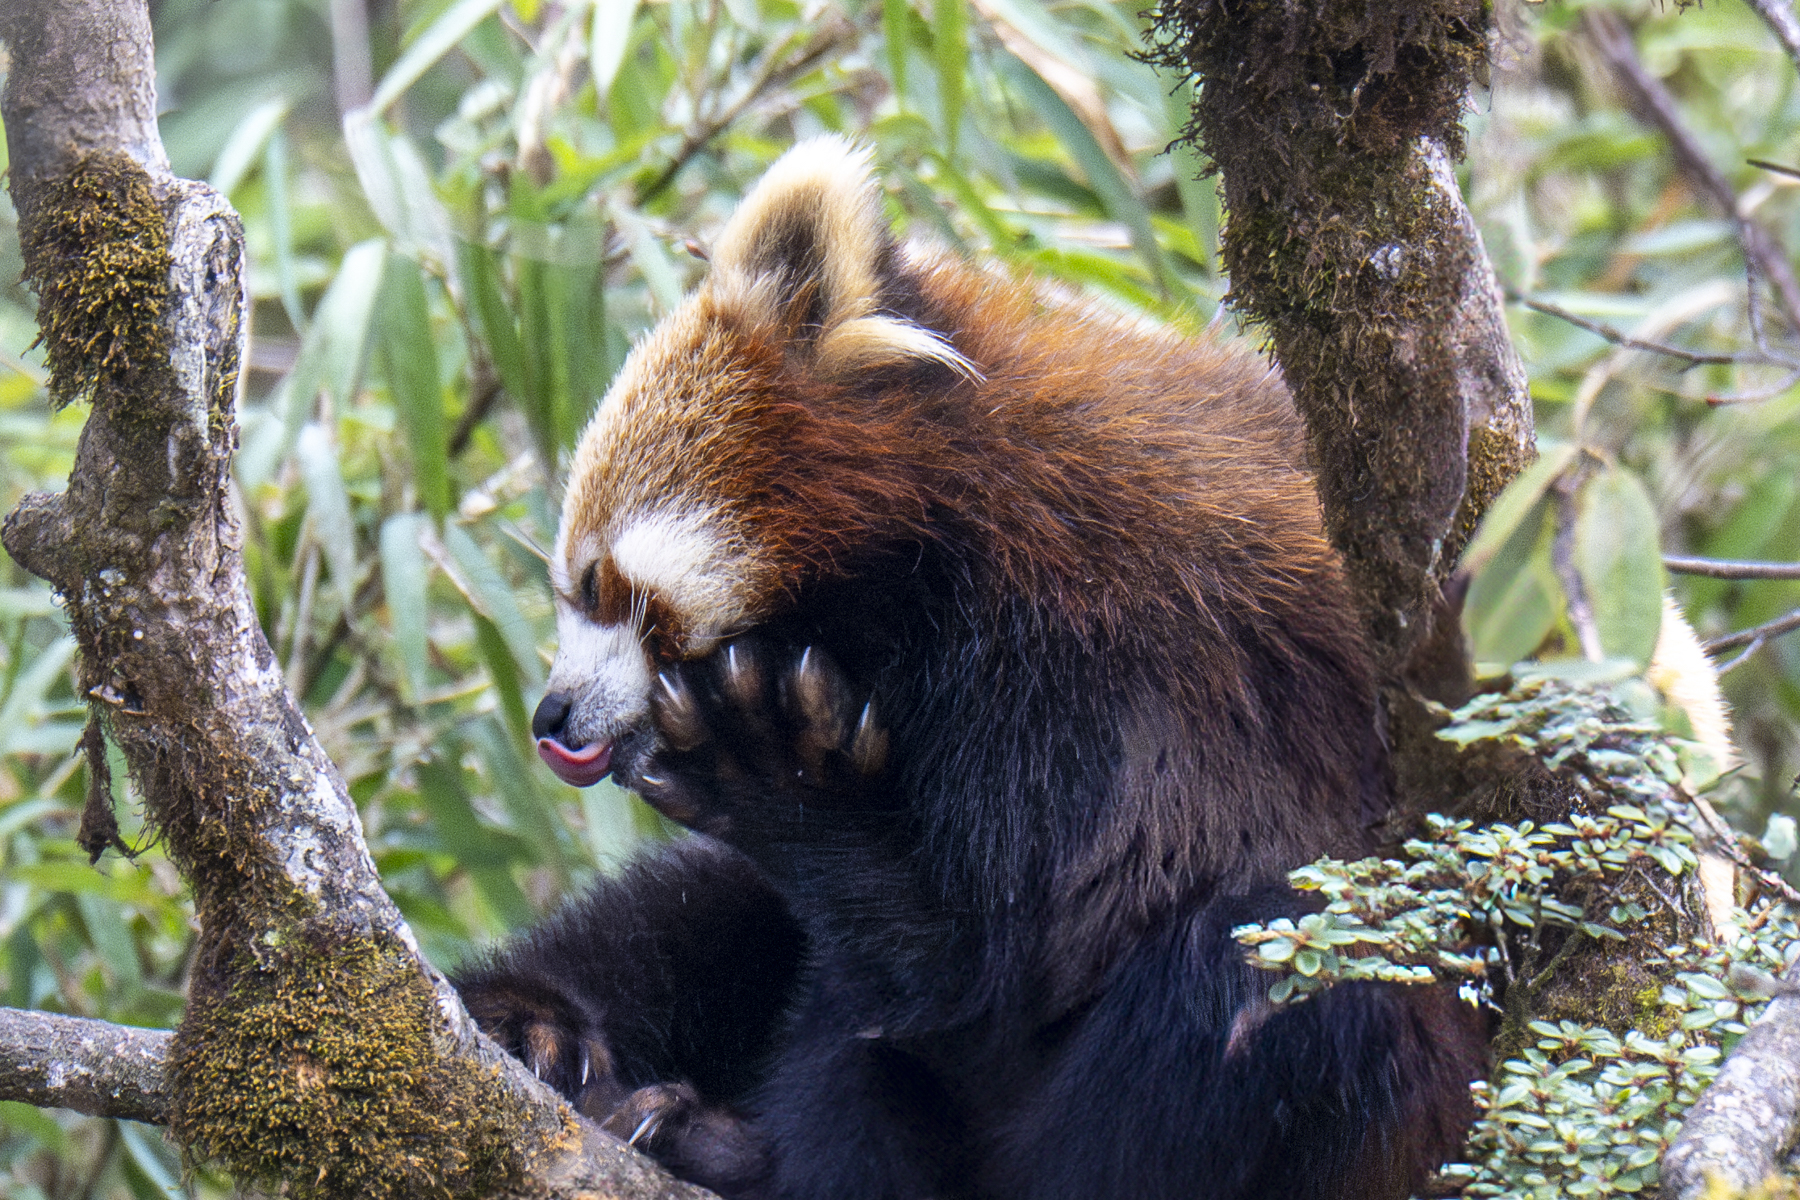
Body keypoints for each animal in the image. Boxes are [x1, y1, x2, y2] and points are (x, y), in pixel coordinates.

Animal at [451, 136, 1487, 1200]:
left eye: (599, 585)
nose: (551, 714)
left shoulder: (1111, 663)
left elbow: (987, 978)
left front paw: (777, 770)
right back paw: (540, 1028)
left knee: (1267, 978)